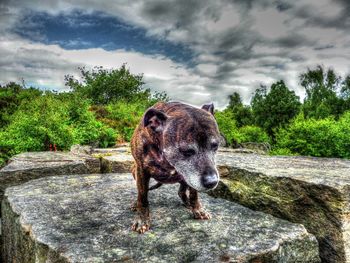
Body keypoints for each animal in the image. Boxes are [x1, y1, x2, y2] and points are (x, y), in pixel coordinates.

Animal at [130, 101, 220, 233]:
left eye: (215, 146)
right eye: (186, 151)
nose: (212, 182)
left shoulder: (191, 178)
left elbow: (194, 194)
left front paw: (198, 209)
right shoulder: (141, 170)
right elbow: (142, 197)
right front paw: (142, 220)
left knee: (181, 191)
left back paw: (188, 202)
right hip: (133, 170)